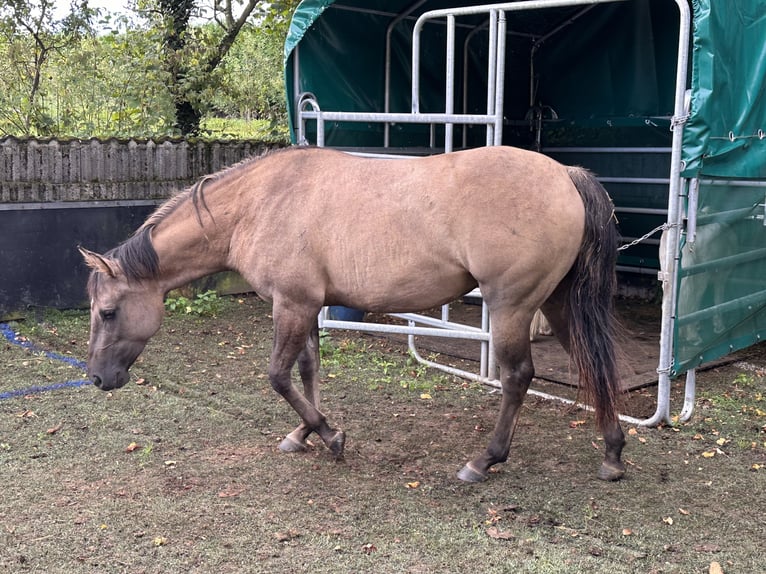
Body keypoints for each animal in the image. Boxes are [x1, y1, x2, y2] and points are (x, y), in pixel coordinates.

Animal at [81, 146, 628, 484]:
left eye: (107, 312)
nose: (97, 378)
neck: (260, 203)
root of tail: (564, 175)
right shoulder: (306, 305)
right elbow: (308, 370)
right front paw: (305, 433)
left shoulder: (291, 303)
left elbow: (278, 375)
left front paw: (329, 435)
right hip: (557, 302)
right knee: (592, 366)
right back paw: (612, 454)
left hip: (512, 306)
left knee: (517, 377)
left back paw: (483, 461)